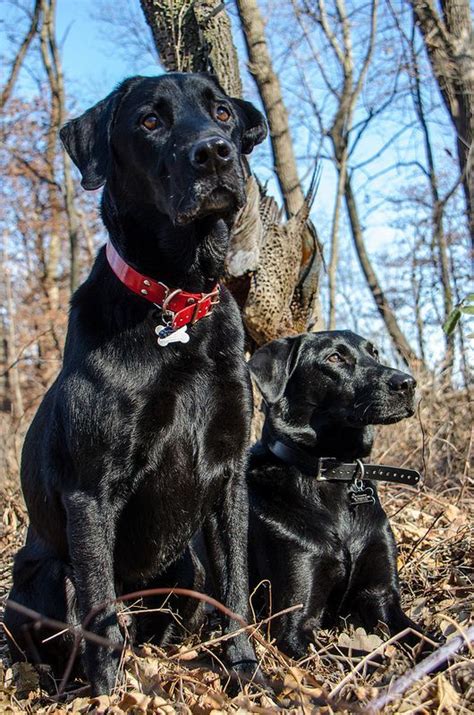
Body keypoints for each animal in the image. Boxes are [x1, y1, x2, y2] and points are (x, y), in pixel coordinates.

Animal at [4, 72, 266, 692]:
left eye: (222, 113)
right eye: (150, 121)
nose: (214, 152)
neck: (176, 301)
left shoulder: (230, 473)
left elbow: (236, 592)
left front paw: (247, 676)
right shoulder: (91, 490)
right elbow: (101, 615)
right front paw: (108, 696)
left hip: (186, 567)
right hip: (43, 574)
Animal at [246, 330, 424, 660]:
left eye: (374, 353)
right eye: (335, 358)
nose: (407, 383)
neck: (336, 472)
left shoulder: (381, 596)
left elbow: (426, 638)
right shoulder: (292, 624)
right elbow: (361, 656)